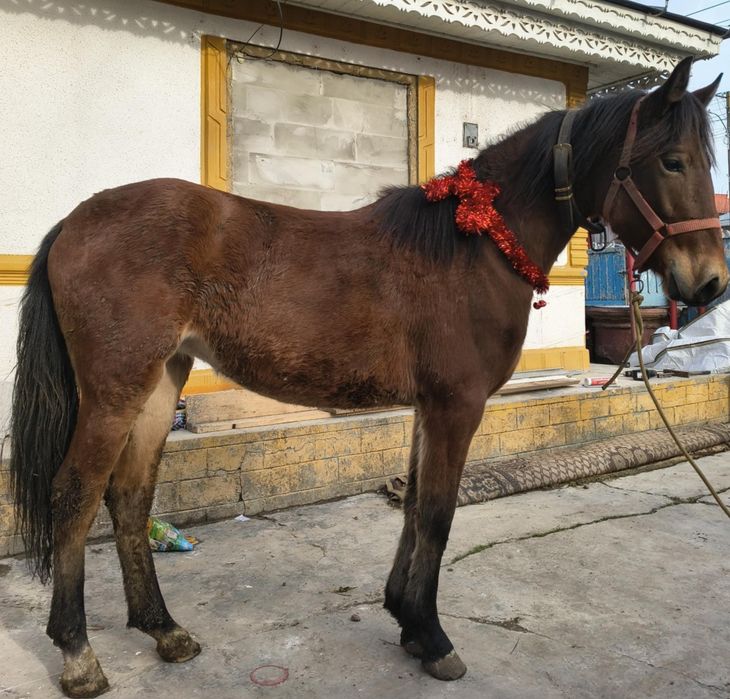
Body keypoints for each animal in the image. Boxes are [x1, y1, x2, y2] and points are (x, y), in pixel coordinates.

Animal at [9, 57, 726, 697]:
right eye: (672, 161)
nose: (711, 282)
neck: (474, 245)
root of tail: (74, 221)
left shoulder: (429, 406)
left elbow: (412, 507)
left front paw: (405, 618)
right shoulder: (456, 406)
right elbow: (437, 513)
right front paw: (433, 637)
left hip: (162, 382)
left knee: (129, 497)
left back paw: (163, 629)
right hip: (115, 390)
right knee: (74, 496)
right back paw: (78, 654)